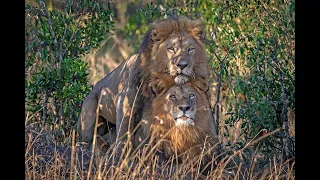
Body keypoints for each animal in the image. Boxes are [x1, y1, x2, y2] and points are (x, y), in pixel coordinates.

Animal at [76, 15, 209, 155]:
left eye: (191, 49)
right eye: (171, 49)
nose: (182, 65)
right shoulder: (124, 102)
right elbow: (123, 133)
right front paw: (120, 154)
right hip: (89, 110)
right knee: (87, 137)